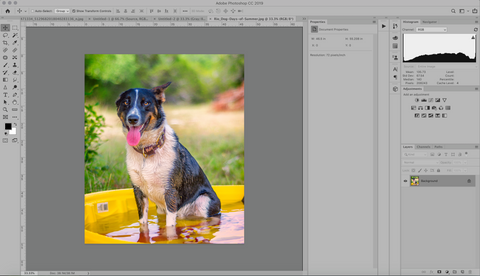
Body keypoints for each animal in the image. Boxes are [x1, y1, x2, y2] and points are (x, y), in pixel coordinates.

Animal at [116, 82, 221, 231]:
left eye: (146, 102)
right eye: (126, 102)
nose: (132, 119)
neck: (147, 151)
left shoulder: (170, 192)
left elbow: (170, 226)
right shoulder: (138, 190)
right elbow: (143, 222)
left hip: (203, 201)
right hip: (161, 210)